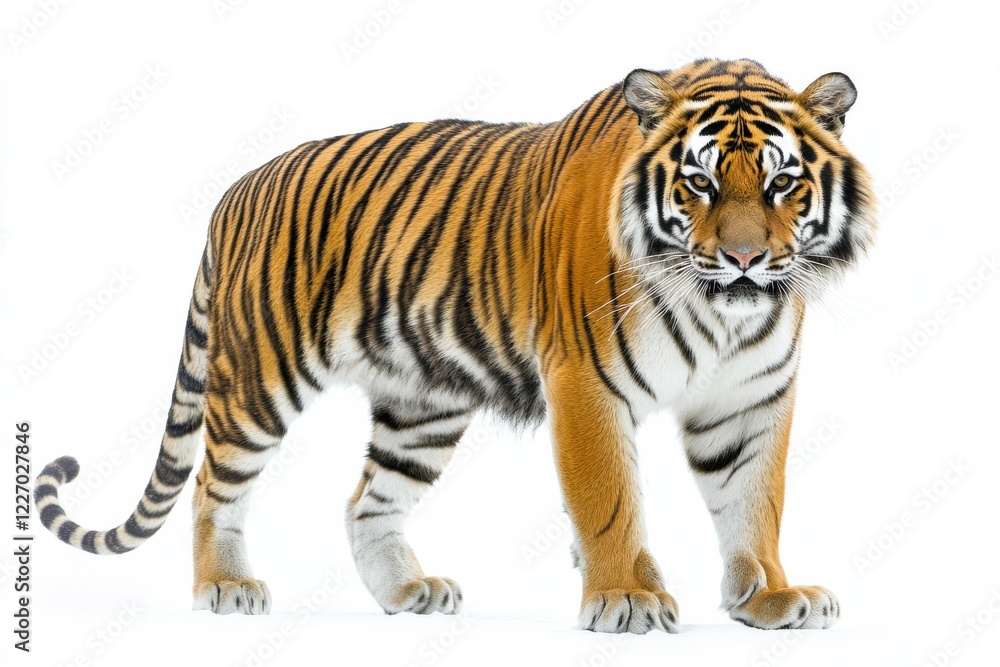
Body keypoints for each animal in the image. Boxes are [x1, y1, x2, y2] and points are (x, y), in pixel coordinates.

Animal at [35, 58, 875, 633]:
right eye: (699, 183)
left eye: (782, 184)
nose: (744, 258)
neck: (721, 312)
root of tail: (236, 188)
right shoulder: (587, 382)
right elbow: (610, 499)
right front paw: (627, 596)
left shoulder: (750, 397)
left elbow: (755, 502)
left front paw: (770, 595)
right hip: (259, 379)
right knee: (214, 484)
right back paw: (225, 586)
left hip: (421, 406)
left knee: (366, 501)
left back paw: (407, 592)